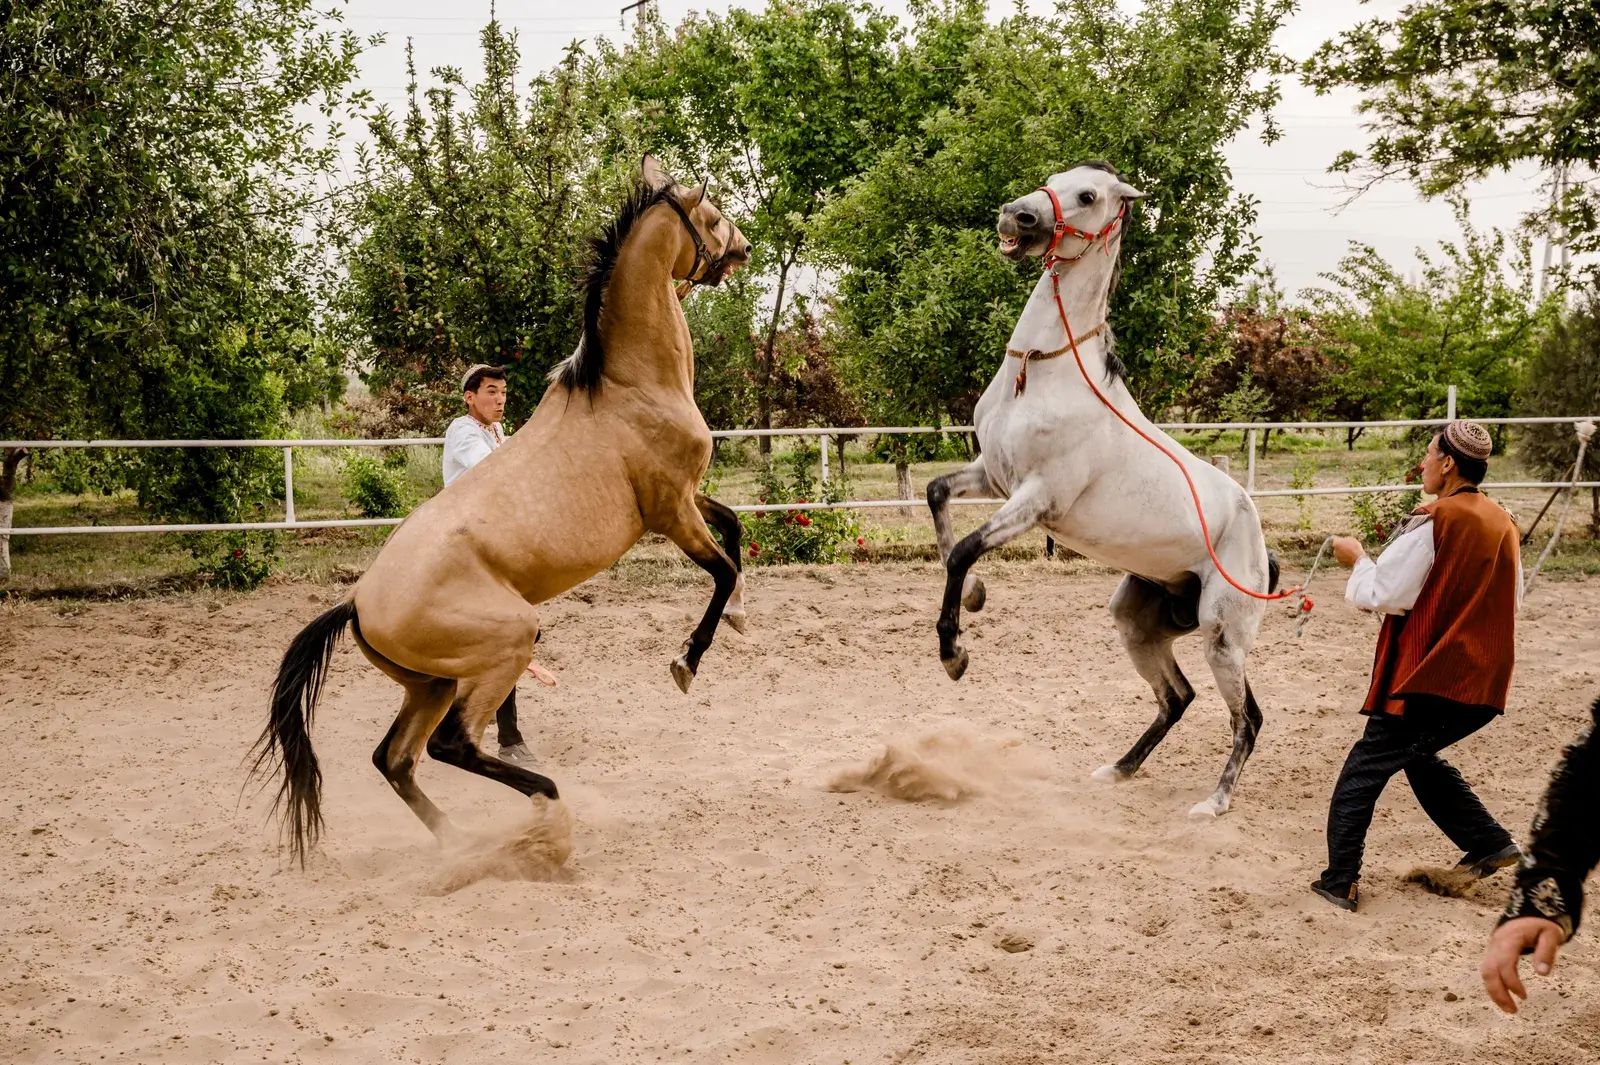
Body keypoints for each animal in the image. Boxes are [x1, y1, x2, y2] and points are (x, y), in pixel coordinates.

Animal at [252, 155, 752, 863]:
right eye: (709, 213)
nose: (743, 248)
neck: (627, 387)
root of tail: (356, 603)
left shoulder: (686, 497)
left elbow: (734, 528)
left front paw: (740, 619)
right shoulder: (669, 511)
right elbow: (723, 570)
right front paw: (688, 662)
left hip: (431, 684)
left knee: (395, 758)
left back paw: (459, 841)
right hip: (506, 641)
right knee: (451, 745)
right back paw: (544, 799)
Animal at [926, 161, 1281, 819]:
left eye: (1088, 196)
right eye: (1053, 177)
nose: (1015, 216)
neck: (1043, 371)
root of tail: (1259, 542)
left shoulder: (1037, 499)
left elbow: (962, 551)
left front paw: (954, 654)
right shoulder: (992, 474)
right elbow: (938, 495)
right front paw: (978, 597)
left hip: (1223, 638)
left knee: (1247, 718)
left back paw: (1213, 803)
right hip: (1137, 623)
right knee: (1178, 697)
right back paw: (1118, 769)